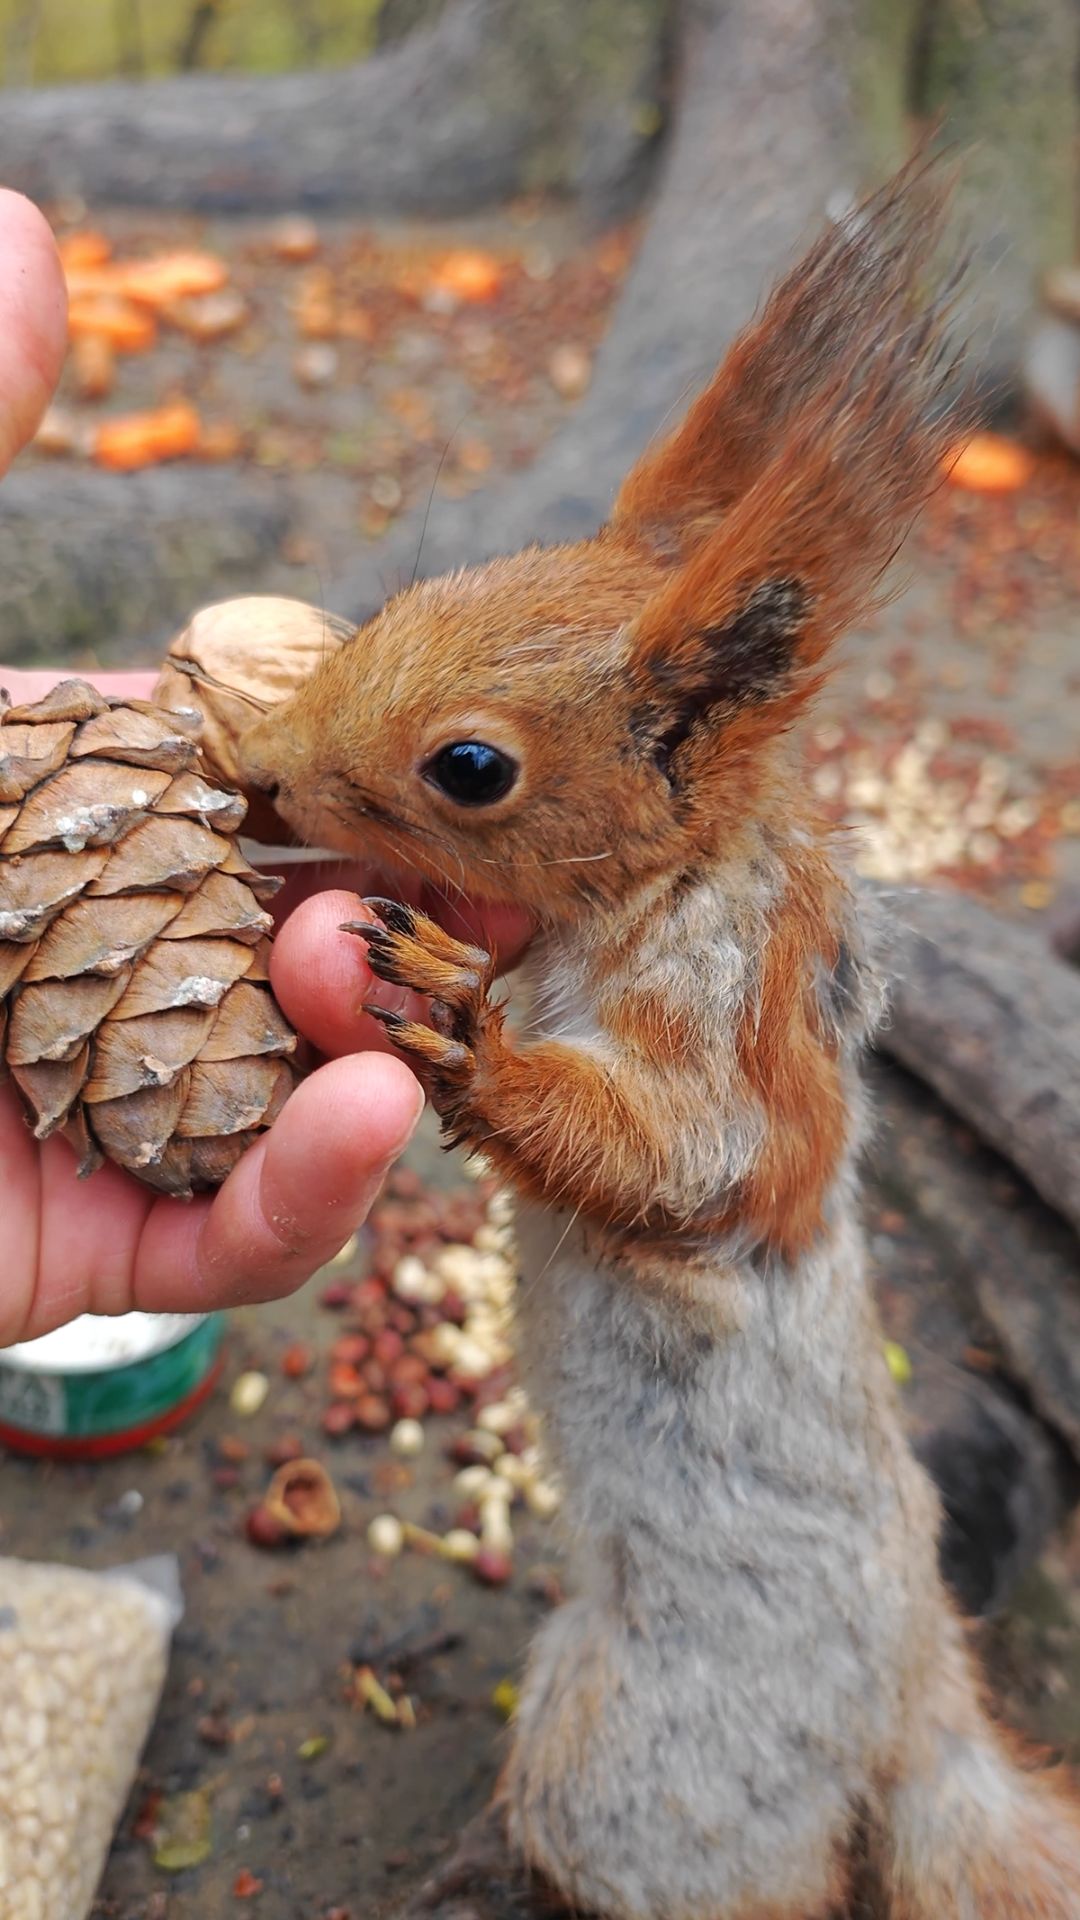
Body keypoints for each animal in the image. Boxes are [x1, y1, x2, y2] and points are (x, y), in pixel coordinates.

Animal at [241, 167, 1080, 1920]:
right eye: (408, 598)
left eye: (472, 768)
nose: (270, 774)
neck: (654, 888)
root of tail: (920, 1703)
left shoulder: (719, 1033)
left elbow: (680, 1161)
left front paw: (466, 1033)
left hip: (655, 1778)